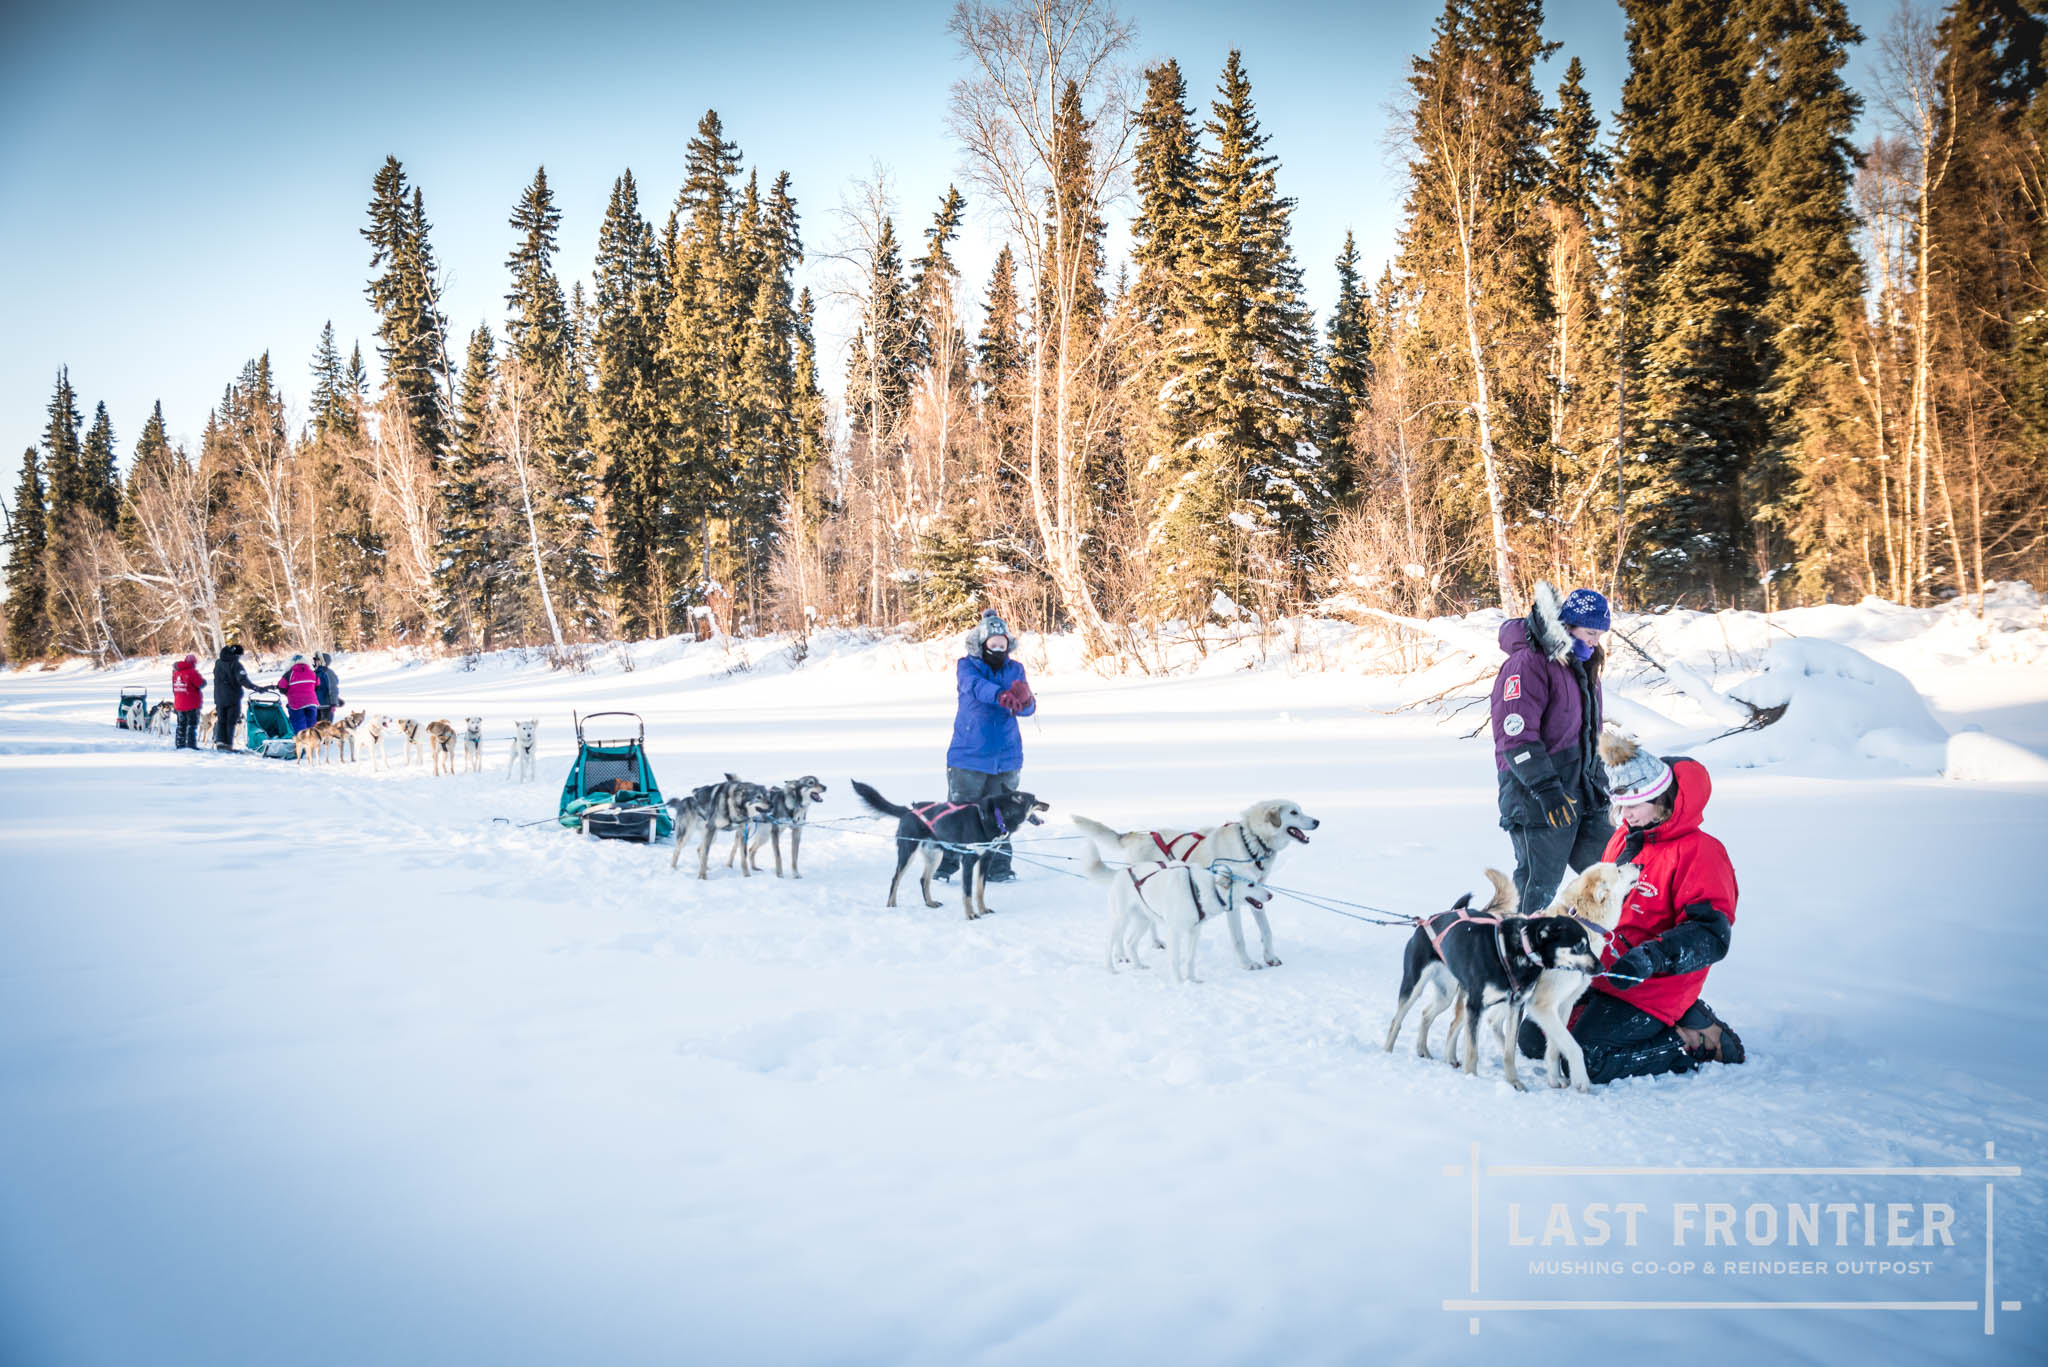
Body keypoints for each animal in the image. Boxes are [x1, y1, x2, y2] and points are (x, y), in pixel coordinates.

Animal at [847, 778, 1048, 918]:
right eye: (1035, 799)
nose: (1048, 804)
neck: (995, 815)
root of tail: (909, 810)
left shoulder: (986, 860)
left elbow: (980, 890)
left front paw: (982, 910)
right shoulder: (968, 861)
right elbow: (967, 892)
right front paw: (970, 914)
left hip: (935, 855)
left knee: (924, 879)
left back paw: (930, 903)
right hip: (907, 851)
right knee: (895, 878)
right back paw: (891, 905)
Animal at [1081, 844, 1269, 983]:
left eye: (1256, 881)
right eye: (1250, 884)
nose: (1270, 895)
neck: (1201, 890)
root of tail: (1123, 871)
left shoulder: (1194, 932)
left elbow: (1190, 958)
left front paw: (1192, 980)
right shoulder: (1175, 932)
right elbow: (1175, 959)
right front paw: (1179, 982)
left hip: (1144, 922)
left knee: (1130, 943)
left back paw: (1138, 966)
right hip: (1121, 919)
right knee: (1110, 943)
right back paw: (1111, 969)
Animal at [1384, 877, 1605, 1090]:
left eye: (1588, 944)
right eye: (1580, 946)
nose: (1601, 967)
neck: (1516, 952)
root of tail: (1430, 920)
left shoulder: (1516, 1006)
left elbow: (1509, 1052)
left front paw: (1514, 1082)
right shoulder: (1475, 1006)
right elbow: (1472, 1051)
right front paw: (1471, 1079)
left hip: (1446, 994)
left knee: (1426, 1014)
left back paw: (1423, 1050)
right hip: (1415, 985)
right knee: (1396, 1020)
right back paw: (1387, 1053)